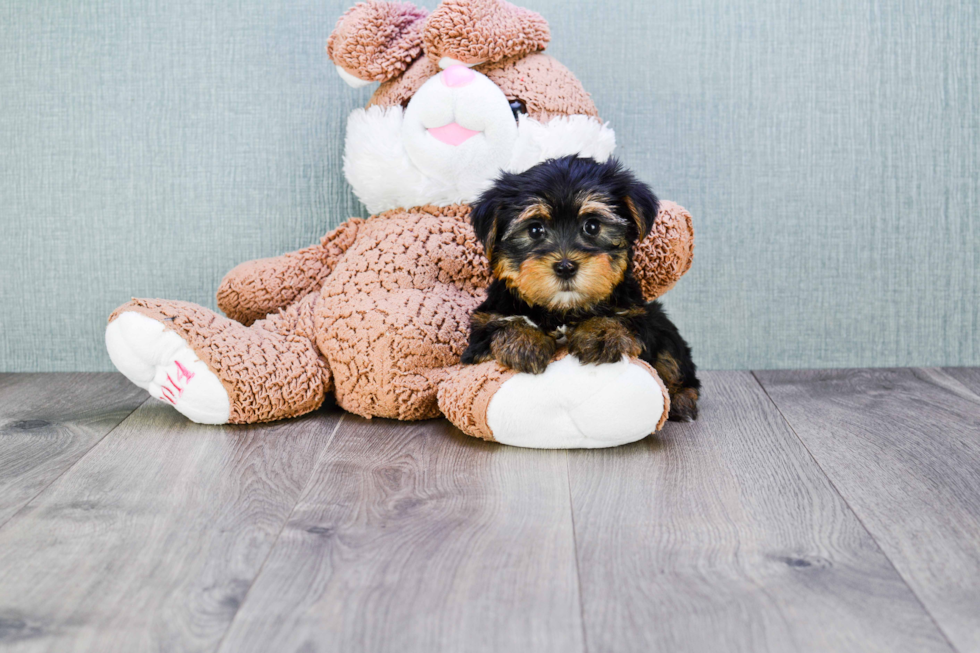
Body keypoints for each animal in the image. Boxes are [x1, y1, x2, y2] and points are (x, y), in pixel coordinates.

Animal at [464, 155, 700, 420]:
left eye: (592, 226)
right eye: (535, 230)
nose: (565, 267)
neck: (563, 310)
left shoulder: (637, 313)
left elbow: (621, 320)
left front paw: (600, 332)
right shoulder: (483, 323)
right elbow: (500, 323)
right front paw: (524, 341)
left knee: (674, 360)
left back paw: (681, 399)